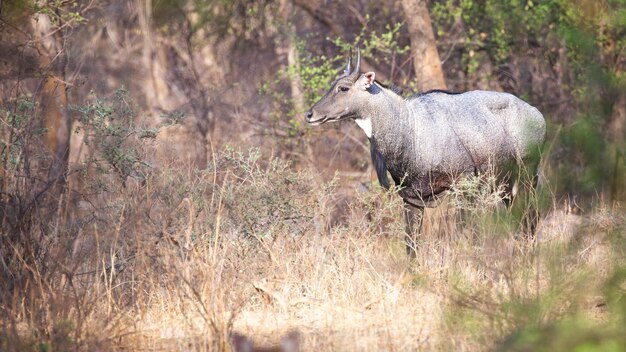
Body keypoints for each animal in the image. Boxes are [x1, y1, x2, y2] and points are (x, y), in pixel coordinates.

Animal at [304, 48, 544, 256]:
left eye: (343, 88)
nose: (309, 114)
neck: (410, 129)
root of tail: (537, 114)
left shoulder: (463, 187)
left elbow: (468, 233)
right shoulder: (411, 197)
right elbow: (411, 244)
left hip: (527, 176)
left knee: (531, 216)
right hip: (506, 184)